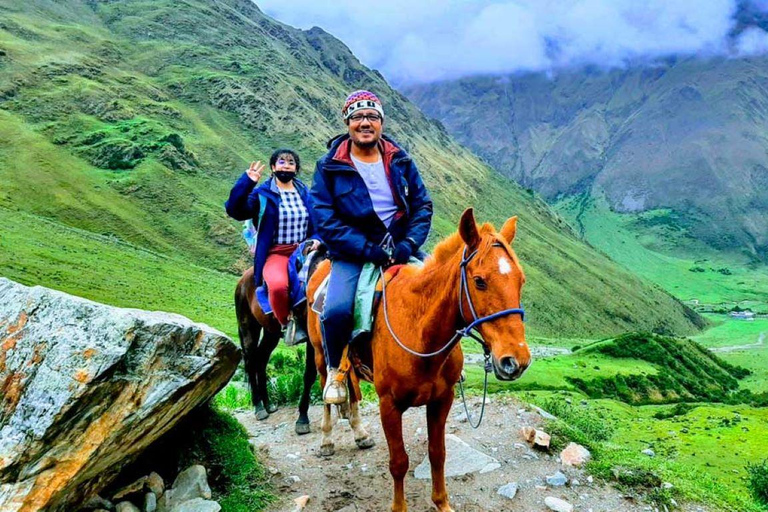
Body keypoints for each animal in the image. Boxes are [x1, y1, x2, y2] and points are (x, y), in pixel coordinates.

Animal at [236, 266, 316, 434]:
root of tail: (242, 280)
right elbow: (310, 375)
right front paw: (302, 419)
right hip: (248, 328)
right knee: (251, 362)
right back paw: (259, 408)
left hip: (271, 332)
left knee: (261, 360)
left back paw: (268, 405)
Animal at [306, 209, 528, 512]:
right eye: (480, 281)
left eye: (521, 280)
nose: (516, 360)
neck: (419, 332)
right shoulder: (389, 405)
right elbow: (399, 462)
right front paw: (399, 507)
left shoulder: (442, 400)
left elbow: (438, 453)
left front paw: (442, 502)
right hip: (319, 354)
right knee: (328, 390)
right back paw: (327, 439)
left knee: (351, 387)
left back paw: (360, 434)